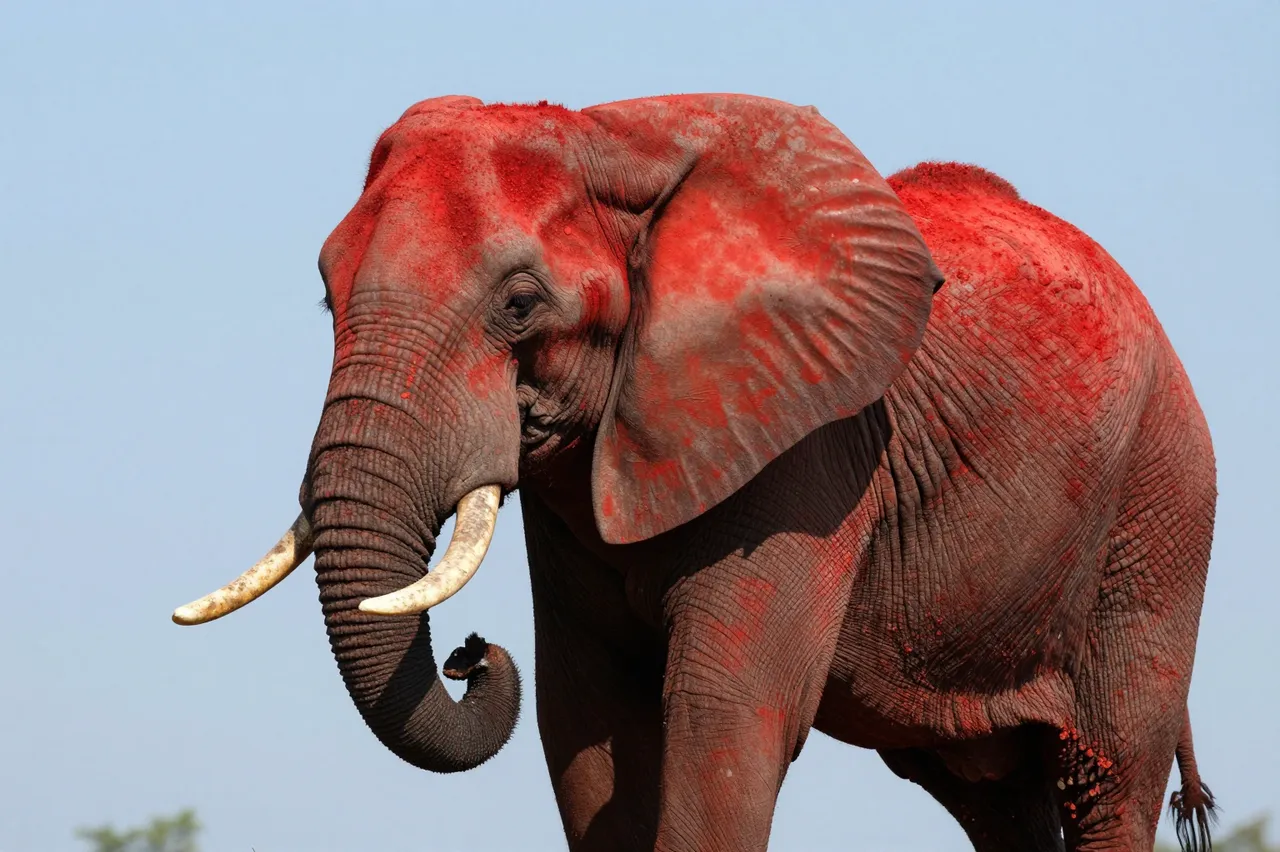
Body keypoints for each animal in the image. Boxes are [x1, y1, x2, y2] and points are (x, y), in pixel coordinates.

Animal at [174, 94, 1218, 852]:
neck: (603, 137)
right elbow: (588, 726)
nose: (472, 653)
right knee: (995, 801)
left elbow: (725, 718)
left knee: (1109, 781)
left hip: (1160, 514)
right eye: (327, 295)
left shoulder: (809, 452)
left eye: (520, 303)